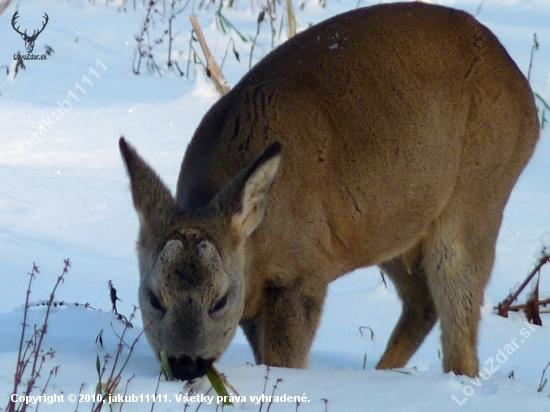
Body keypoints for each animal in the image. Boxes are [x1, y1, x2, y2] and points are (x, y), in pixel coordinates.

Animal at [119, 1, 540, 382]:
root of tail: (528, 100)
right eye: (154, 297)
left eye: (220, 300)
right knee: (422, 302)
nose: (185, 364)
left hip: (478, 193)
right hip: (393, 225)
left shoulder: (305, 270)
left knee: (460, 323)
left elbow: (286, 361)